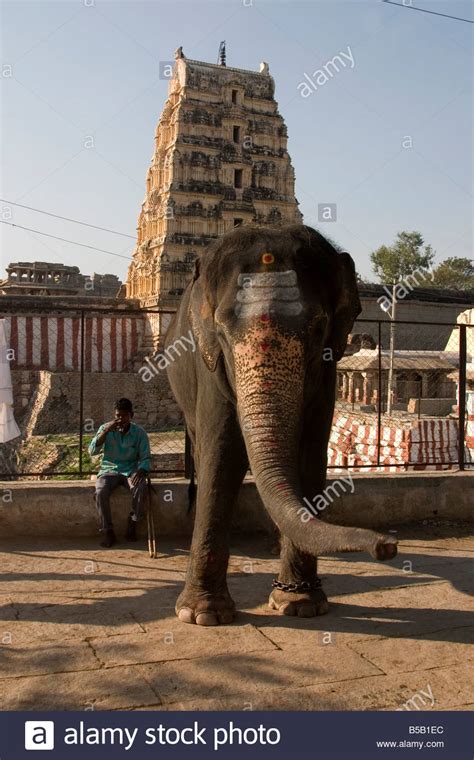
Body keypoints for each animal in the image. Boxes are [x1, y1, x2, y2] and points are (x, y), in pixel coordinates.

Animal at [165, 223, 398, 628]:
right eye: (221, 332)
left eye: (319, 328)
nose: (387, 546)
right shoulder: (209, 365)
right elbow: (221, 455)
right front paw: (203, 615)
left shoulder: (328, 370)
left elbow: (310, 456)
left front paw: (299, 603)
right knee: (199, 444)